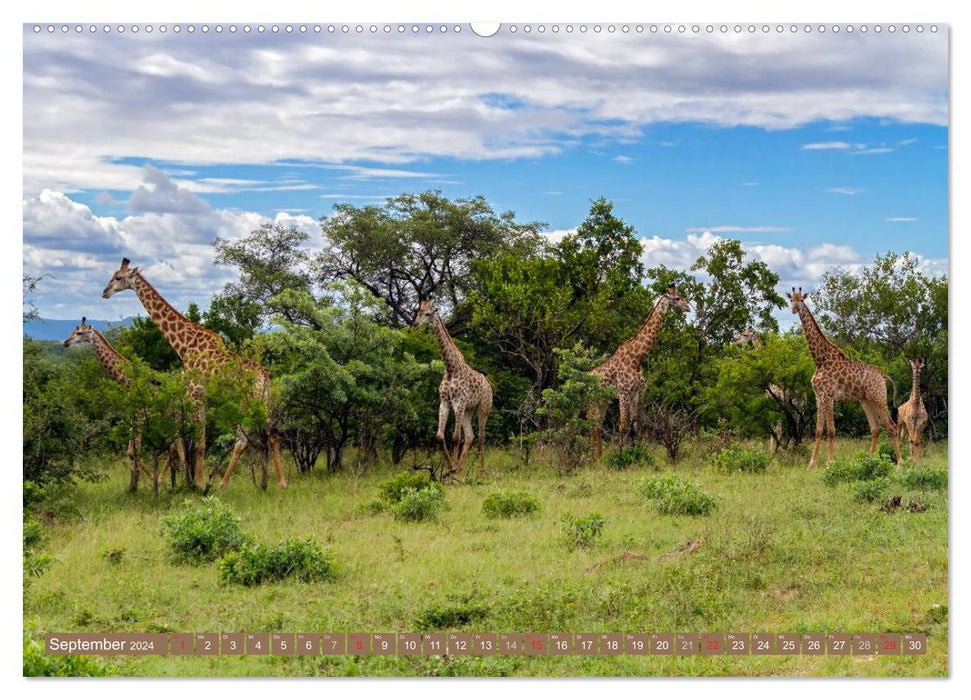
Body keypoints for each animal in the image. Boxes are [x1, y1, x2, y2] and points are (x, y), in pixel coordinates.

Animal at [64, 318, 188, 492]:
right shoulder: (132, 415)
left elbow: (136, 451)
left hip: (174, 416)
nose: (66, 342)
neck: (127, 382)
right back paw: (170, 480)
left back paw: (183, 481)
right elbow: (130, 451)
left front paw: (150, 479)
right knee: (174, 447)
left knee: (179, 446)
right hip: (166, 418)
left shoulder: (141, 415)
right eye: (73, 331)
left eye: (80, 333)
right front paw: (135, 484)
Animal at [101, 258, 286, 492]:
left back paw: (256, 483)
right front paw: (197, 480)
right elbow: (197, 442)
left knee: (253, 438)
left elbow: (198, 444)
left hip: (250, 402)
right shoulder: (200, 398)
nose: (105, 292)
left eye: (118, 277)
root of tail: (264, 378)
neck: (183, 345)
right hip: (263, 401)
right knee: (266, 436)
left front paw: (197, 482)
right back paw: (262, 483)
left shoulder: (196, 393)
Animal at [416, 298, 498, 474]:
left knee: (481, 436)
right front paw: (450, 468)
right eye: (418, 312)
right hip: (469, 410)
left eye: (429, 313)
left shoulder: (458, 403)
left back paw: (482, 470)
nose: (415, 325)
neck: (450, 368)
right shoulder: (445, 403)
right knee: (470, 436)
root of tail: (489, 385)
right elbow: (440, 437)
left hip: (483, 408)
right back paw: (460, 467)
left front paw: (452, 468)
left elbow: (455, 438)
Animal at [584, 284, 692, 460]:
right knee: (591, 423)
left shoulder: (635, 392)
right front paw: (620, 456)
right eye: (677, 298)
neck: (637, 357)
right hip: (593, 400)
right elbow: (623, 426)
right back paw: (591, 457)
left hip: (603, 400)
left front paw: (636, 454)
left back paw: (597, 457)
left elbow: (635, 426)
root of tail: (587, 379)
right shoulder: (623, 392)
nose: (687, 308)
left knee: (597, 425)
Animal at [784, 288, 900, 468]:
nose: (795, 309)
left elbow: (831, 430)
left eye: (802, 300)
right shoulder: (818, 396)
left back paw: (901, 463)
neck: (819, 360)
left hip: (878, 397)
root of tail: (883, 375)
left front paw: (831, 462)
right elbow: (819, 430)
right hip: (865, 400)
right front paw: (812, 463)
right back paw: (869, 460)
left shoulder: (829, 396)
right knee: (875, 428)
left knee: (892, 427)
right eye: (791, 300)